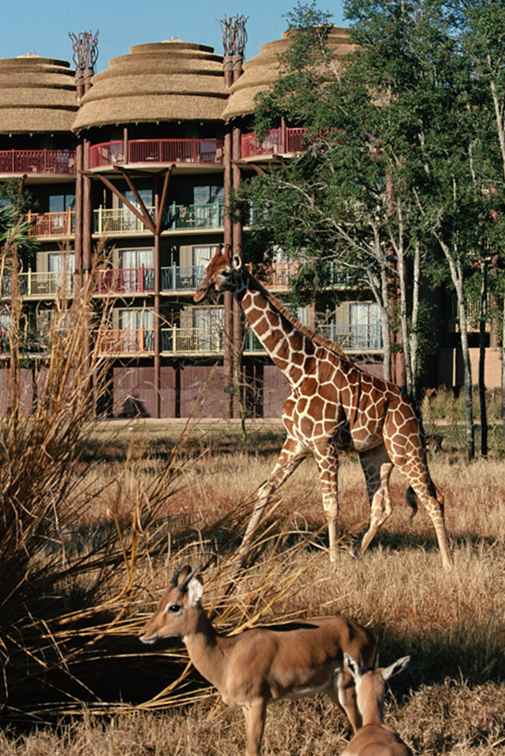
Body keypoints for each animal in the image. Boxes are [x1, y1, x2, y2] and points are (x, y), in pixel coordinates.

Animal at [140, 564, 376, 756]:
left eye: (174, 606)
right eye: (161, 601)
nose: (144, 634)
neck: (227, 656)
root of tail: (364, 632)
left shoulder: (258, 703)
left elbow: (253, 749)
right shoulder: (245, 707)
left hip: (348, 689)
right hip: (332, 692)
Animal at [194, 251, 452, 568]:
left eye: (226, 272)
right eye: (207, 267)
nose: (198, 293)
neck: (296, 370)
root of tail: (413, 408)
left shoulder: (323, 443)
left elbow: (331, 505)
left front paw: (332, 563)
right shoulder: (296, 443)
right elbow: (264, 491)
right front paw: (238, 558)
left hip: (406, 447)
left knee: (433, 498)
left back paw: (448, 564)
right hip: (376, 454)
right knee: (381, 506)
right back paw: (356, 554)